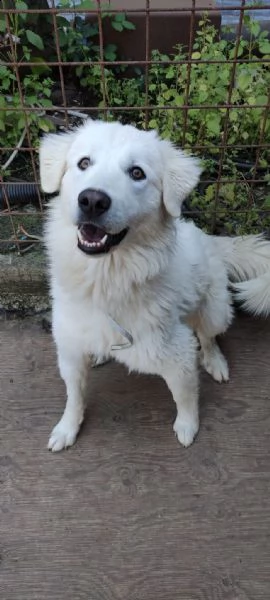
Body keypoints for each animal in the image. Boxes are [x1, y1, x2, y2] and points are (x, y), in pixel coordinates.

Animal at [39, 120, 270, 450]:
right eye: (84, 163)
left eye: (137, 173)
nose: (92, 200)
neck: (107, 280)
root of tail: (212, 241)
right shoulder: (69, 352)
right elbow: (74, 396)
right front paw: (67, 428)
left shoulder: (178, 355)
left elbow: (185, 397)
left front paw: (188, 427)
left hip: (214, 311)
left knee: (208, 337)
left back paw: (215, 361)